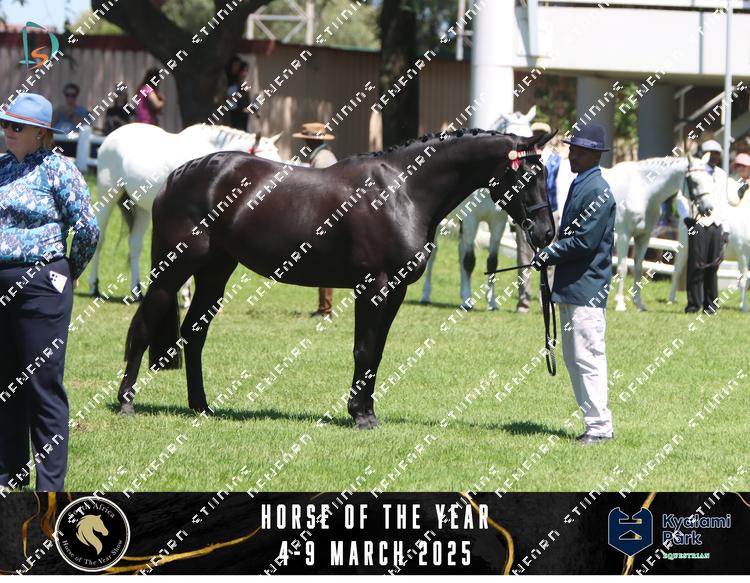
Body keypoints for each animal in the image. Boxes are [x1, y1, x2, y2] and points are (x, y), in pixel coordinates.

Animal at [88, 123, 282, 305]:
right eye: (266, 163)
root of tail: (112, 135)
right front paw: (186, 294)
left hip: (141, 208)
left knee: (135, 245)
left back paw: (136, 292)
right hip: (108, 194)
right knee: (101, 239)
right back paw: (94, 287)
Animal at [116, 128, 556, 429]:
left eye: (545, 172)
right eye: (528, 174)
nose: (546, 233)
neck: (404, 191)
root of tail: (178, 175)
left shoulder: (395, 291)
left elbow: (376, 353)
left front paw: (367, 410)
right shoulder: (373, 288)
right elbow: (364, 350)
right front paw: (360, 416)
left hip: (215, 272)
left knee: (194, 333)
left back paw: (202, 407)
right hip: (173, 270)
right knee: (144, 326)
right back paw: (126, 403)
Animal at [420, 106, 536, 309]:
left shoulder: (497, 223)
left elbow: (492, 262)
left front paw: (491, 302)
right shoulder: (471, 220)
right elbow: (469, 261)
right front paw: (468, 300)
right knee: (434, 256)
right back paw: (427, 295)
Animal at [554, 154, 714, 311]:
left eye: (710, 179)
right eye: (694, 182)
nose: (709, 209)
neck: (644, 189)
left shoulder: (644, 236)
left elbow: (638, 267)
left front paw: (638, 304)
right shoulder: (624, 235)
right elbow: (622, 268)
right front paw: (620, 303)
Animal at [668, 176, 750, 311]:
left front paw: (742, 305)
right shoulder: (742, 255)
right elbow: (744, 280)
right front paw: (744, 308)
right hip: (684, 248)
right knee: (677, 271)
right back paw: (671, 300)